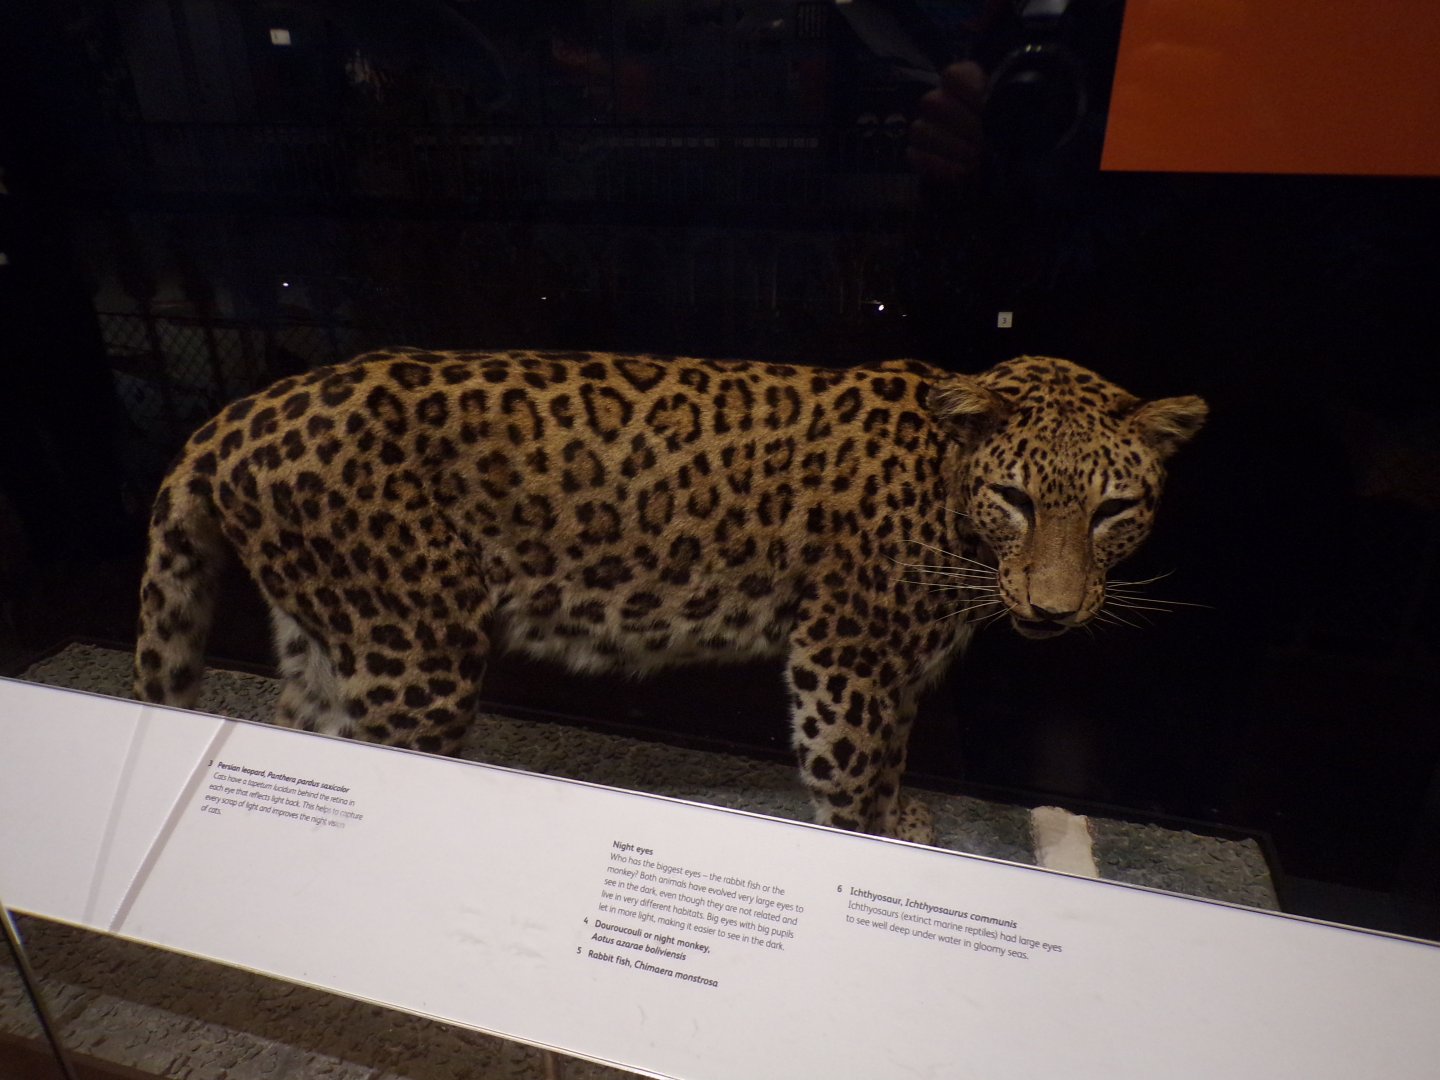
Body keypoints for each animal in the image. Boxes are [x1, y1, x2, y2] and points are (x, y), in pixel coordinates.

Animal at [133, 350, 1206, 842]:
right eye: (1017, 499)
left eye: (1114, 509)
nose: (1056, 611)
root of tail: (224, 422)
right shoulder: (843, 658)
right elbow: (852, 776)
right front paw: (874, 846)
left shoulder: (894, 667)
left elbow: (895, 753)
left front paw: (905, 820)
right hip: (416, 644)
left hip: (324, 629)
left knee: (298, 736)